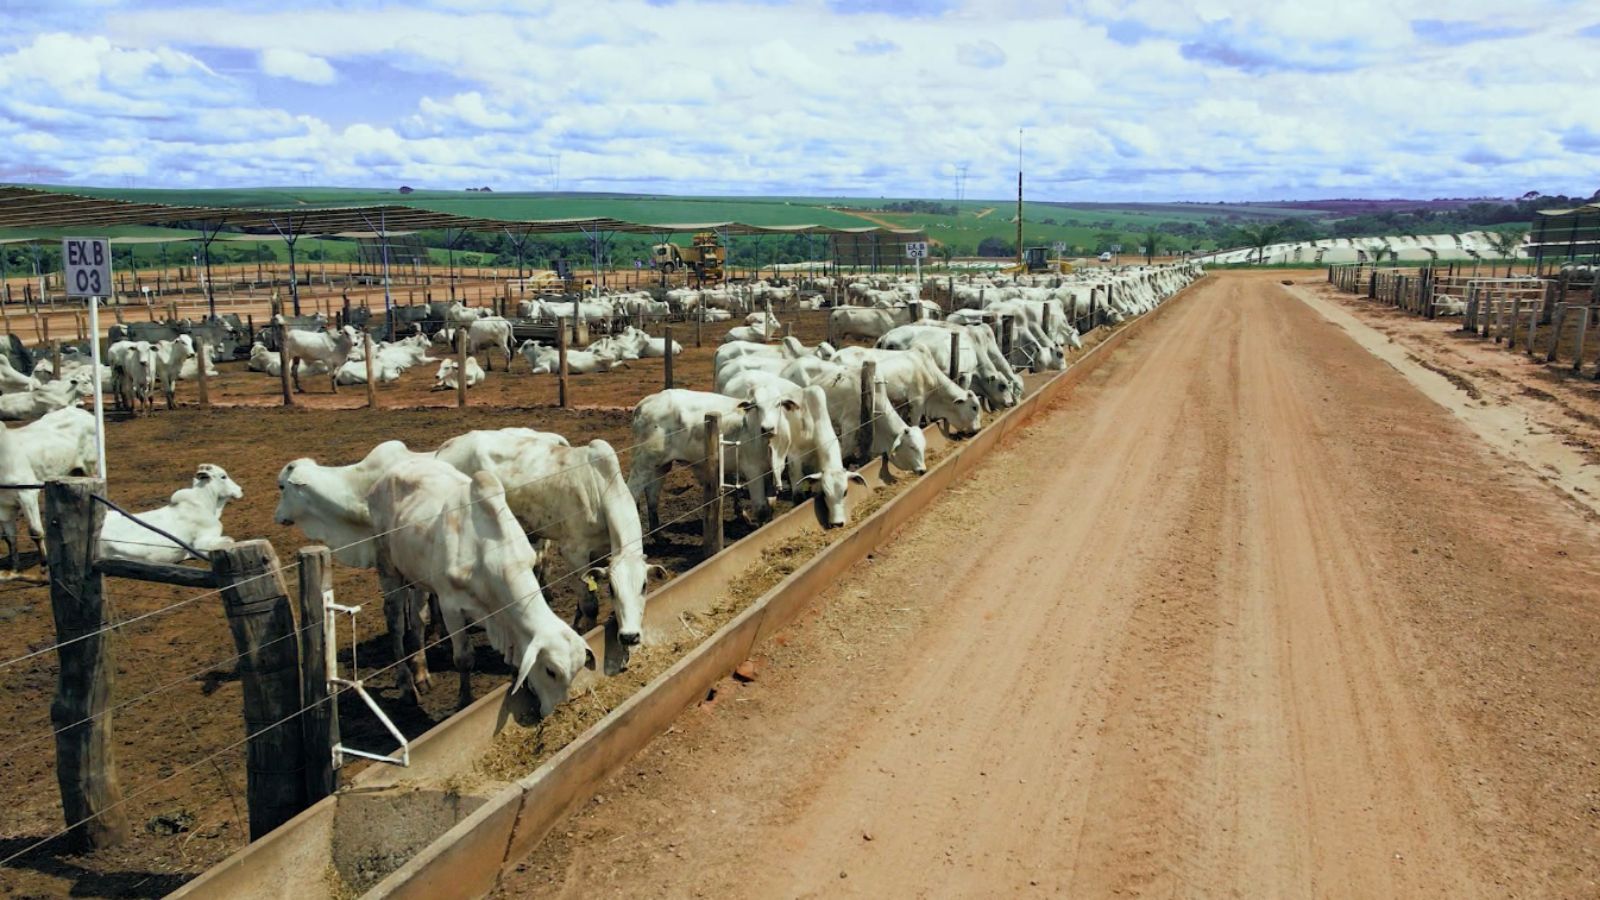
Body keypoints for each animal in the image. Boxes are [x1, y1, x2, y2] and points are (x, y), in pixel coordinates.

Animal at [366, 458, 598, 711]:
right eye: (551, 671)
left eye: (579, 667)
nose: (560, 708)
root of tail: (387, 475)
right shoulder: (451, 606)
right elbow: (464, 658)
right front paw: (465, 701)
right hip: (388, 568)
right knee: (395, 623)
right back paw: (407, 685)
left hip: (417, 575)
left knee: (418, 618)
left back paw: (422, 674)